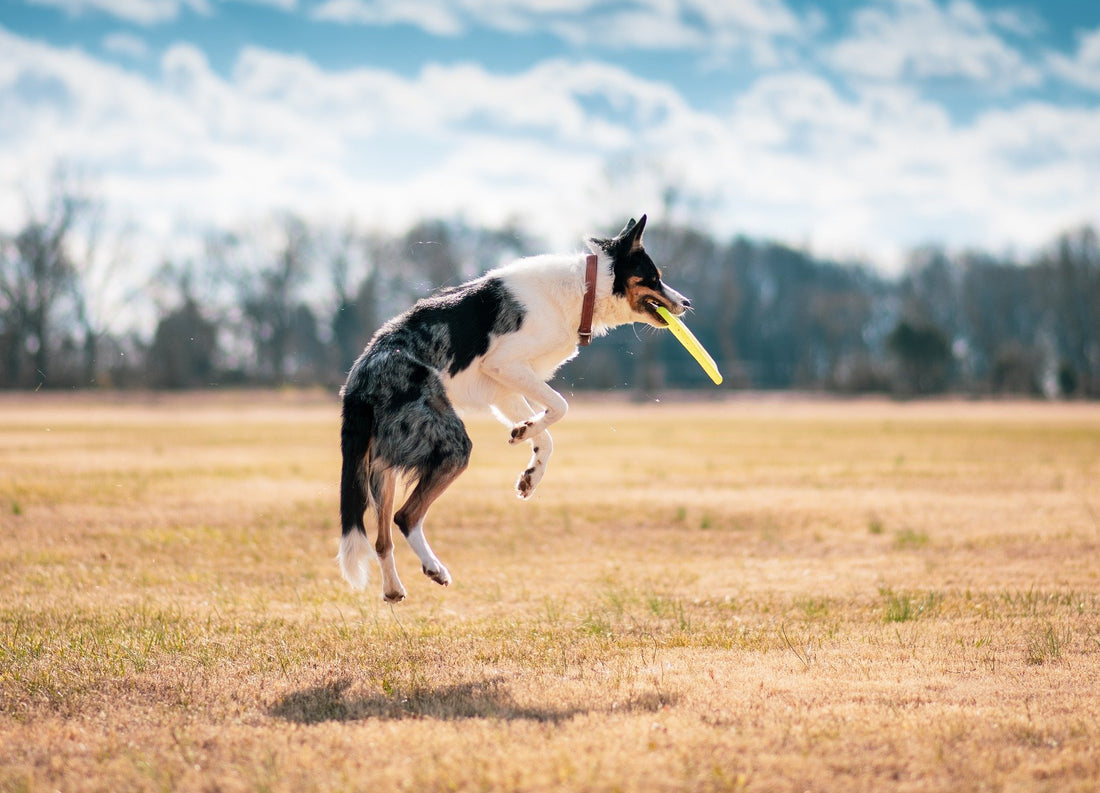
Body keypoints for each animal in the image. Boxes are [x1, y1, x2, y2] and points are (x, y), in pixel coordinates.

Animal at [338, 216, 690, 598]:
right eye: (653, 277)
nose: (687, 302)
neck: (584, 289)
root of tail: (359, 379)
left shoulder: (505, 388)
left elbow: (546, 436)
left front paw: (529, 471)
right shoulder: (505, 365)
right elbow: (561, 407)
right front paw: (525, 433)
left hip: (384, 466)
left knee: (382, 537)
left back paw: (393, 589)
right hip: (451, 445)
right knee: (405, 516)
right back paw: (434, 568)